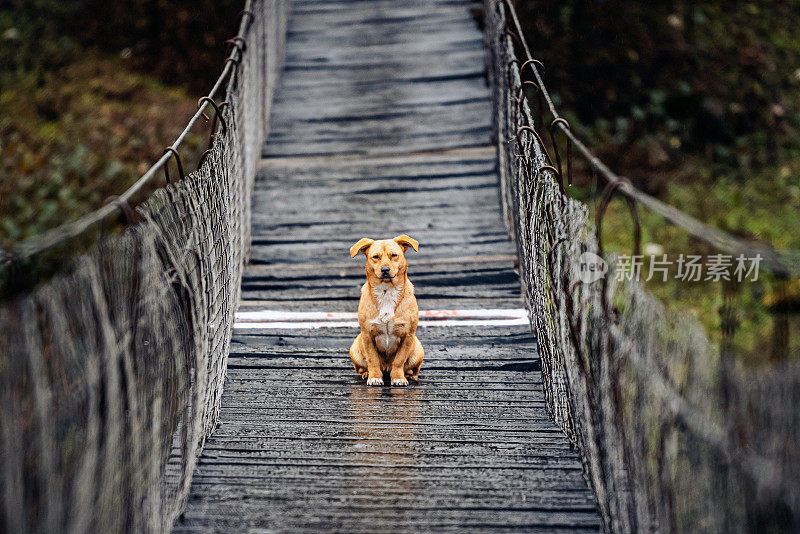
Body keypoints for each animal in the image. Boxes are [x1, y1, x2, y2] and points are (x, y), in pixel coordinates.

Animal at [350, 237, 424, 388]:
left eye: (394, 255)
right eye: (375, 257)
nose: (385, 269)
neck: (386, 291)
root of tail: (386, 368)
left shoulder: (408, 335)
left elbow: (399, 360)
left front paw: (398, 378)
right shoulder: (367, 335)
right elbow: (372, 359)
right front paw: (374, 377)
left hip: (418, 350)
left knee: (411, 369)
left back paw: (408, 376)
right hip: (354, 348)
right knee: (363, 367)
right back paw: (366, 373)